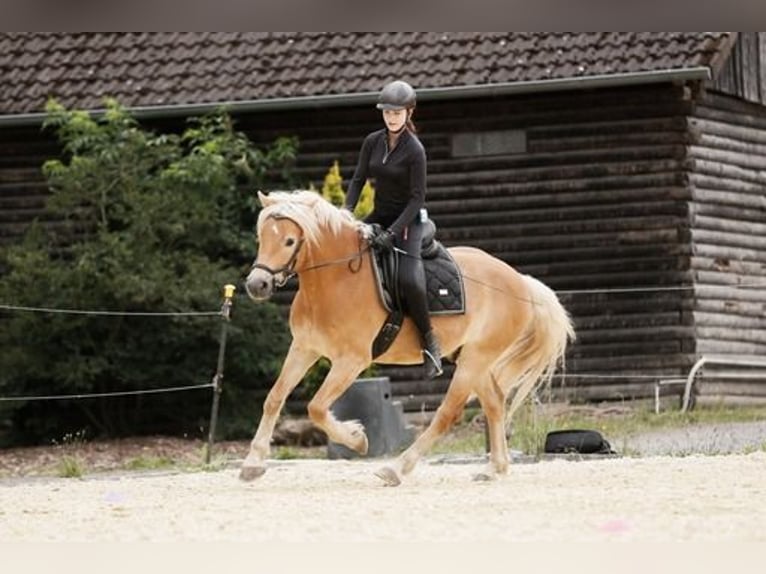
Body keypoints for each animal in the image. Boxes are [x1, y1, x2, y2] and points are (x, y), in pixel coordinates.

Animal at [241, 190, 575, 485]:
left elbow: (317, 407)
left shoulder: (351, 360)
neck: (336, 280)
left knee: (448, 413)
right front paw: (253, 464)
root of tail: (520, 281)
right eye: (261, 238)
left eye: (289, 241)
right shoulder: (304, 348)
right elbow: (274, 398)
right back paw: (494, 469)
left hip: (475, 360)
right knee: (494, 403)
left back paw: (397, 468)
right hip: (472, 359)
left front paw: (357, 439)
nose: (257, 285)